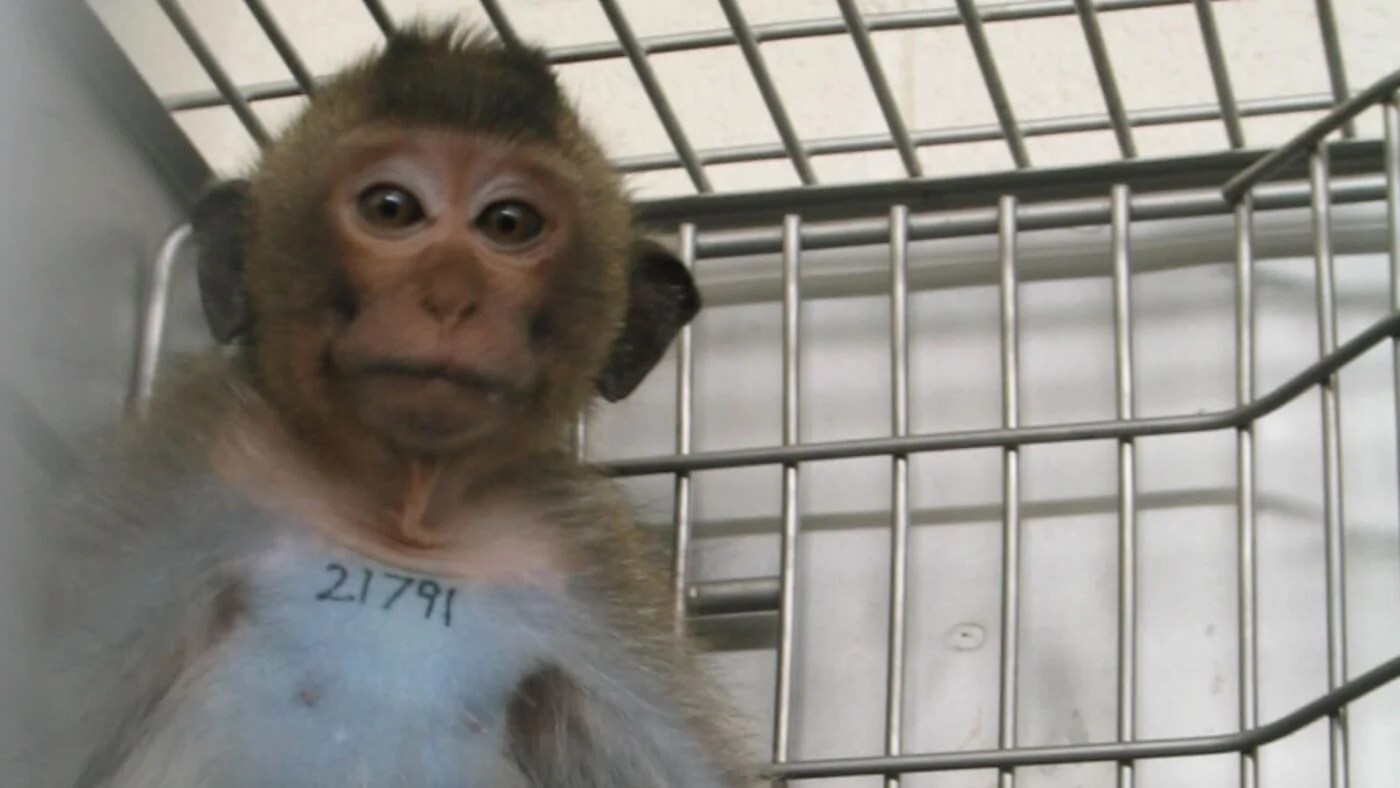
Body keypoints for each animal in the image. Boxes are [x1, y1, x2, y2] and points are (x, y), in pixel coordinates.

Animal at [3, 23, 754, 788]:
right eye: (391, 209)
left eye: (509, 223)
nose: (450, 296)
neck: (400, 515)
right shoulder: (184, 473)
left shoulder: (588, 562)